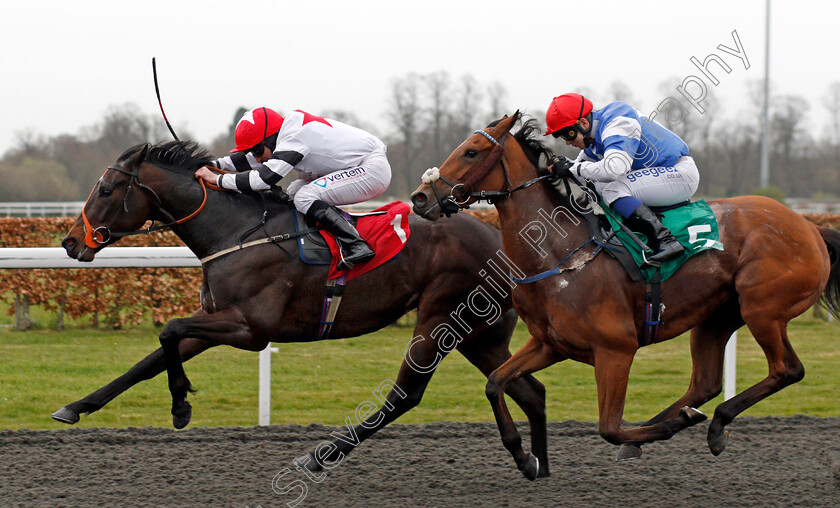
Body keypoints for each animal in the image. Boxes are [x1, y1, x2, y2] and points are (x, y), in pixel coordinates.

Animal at [55, 140, 548, 472]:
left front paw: (180, 407)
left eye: (106, 189)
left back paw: (320, 456)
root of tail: (503, 241)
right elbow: (150, 359)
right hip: (478, 333)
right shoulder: (215, 320)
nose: (70, 242)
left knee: (405, 395)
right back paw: (532, 461)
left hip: (440, 316)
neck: (235, 233)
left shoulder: (249, 329)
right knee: (525, 388)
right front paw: (76, 407)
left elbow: (169, 329)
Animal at [412, 112, 840, 480]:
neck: (562, 254)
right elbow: (495, 382)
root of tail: (810, 227)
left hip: (762, 309)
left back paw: (712, 422)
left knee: (787, 370)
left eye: (471, 151)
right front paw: (523, 456)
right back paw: (687, 420)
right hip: (716, 317)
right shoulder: (549, 344)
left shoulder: (616, 350)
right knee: (705, 383)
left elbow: (610, 428)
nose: (419, 197)